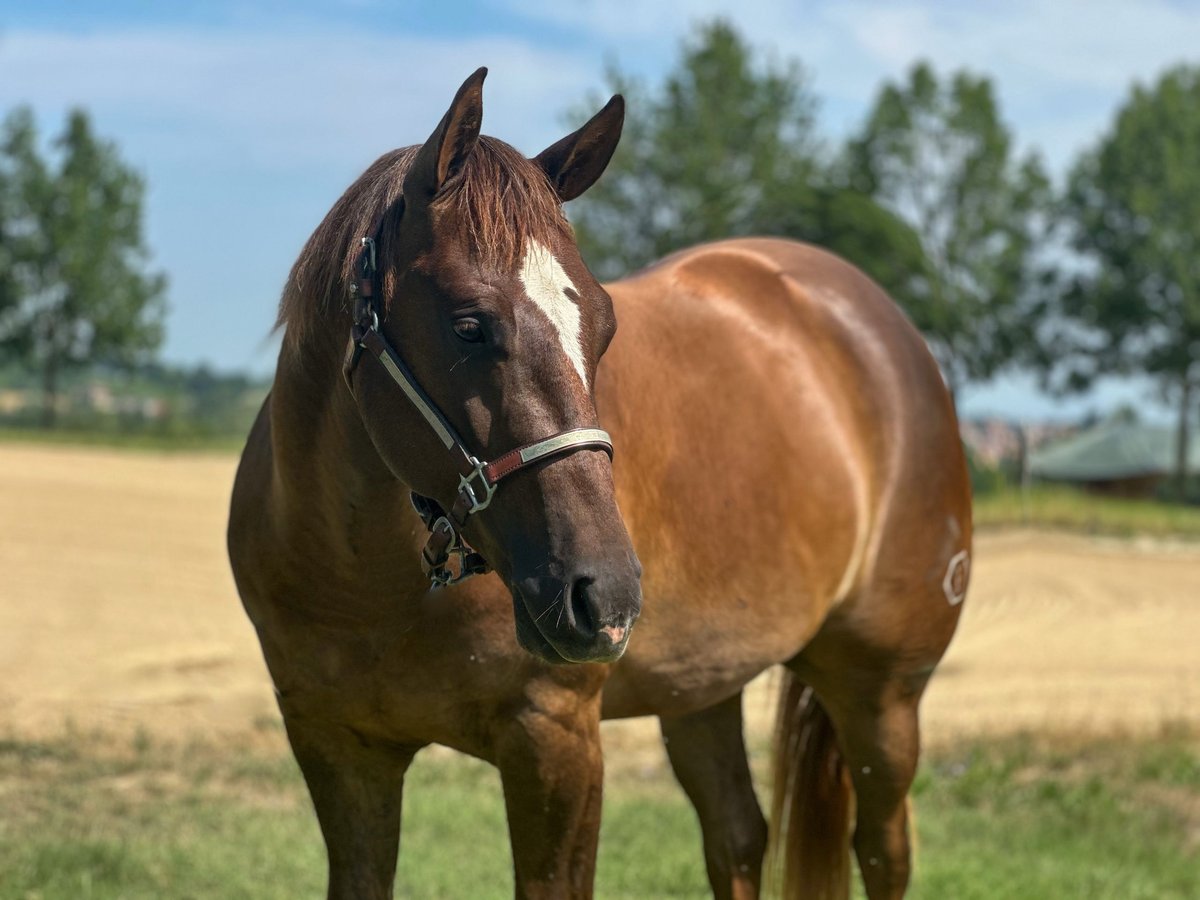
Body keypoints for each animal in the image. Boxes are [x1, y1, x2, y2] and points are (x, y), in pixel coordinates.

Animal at [228, 68, 971, 900]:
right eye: (468, 324)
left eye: (605, 327)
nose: (605, 595)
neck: (366, 582)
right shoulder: (335, 747)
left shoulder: (555, 743)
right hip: (704, 690)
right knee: (739, 838)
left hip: (882, 695)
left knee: (882, 849)